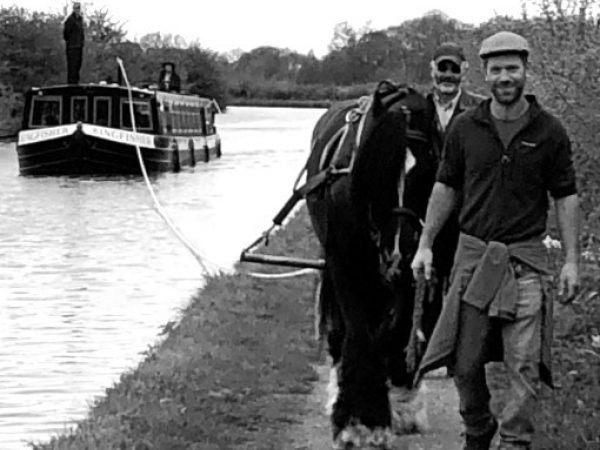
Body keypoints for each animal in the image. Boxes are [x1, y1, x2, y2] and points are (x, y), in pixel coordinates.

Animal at [305, 81, 457, 449]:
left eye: (428, 168)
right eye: (376, 174)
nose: (399, 251)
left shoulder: (420, 269)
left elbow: (395, 329)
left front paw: (402, 400)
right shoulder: (345, 265)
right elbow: (360, 331)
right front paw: (361, 423)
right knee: (343, 328)